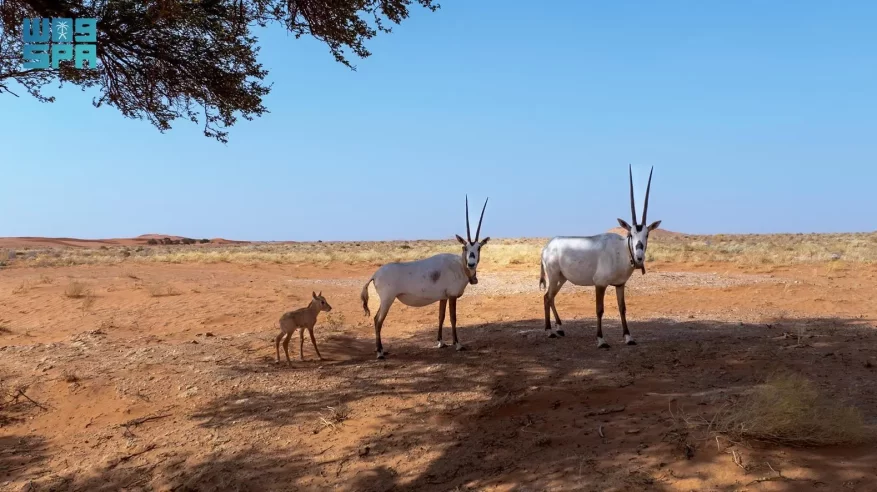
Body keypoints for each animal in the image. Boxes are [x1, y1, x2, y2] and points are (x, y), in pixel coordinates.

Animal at [360, 194, 490, 360]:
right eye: (464, 247)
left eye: (478, 247)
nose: (471, 263)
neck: (459, 265)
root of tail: (375, 275)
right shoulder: (452, 296)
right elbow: (453, 318)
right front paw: (458, 345)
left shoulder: (443, 297)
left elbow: (441, 317)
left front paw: (441, 342)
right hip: (387, 300)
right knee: (377, 320)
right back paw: (380, 352)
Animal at [536, 167, 660, 348]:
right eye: (631, 234)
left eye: (647, 234)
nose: (639, 257)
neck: (621, 250)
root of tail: (547, 247)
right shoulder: (600, 284)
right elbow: (599, 309)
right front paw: (601, 340)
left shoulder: (620, 284)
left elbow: (622, 308)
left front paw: (628, 337)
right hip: (553, 276)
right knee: (546, 297)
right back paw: (549, 331)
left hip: (561, 278)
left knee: (551, 297)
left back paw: (559, 328)